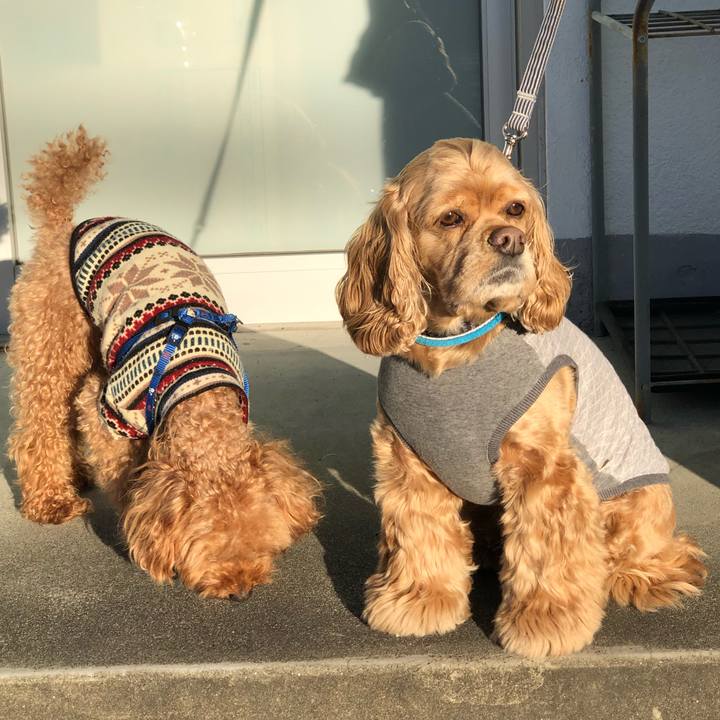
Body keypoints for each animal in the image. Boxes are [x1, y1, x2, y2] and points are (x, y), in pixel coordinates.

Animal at [8, 127, 320, 599]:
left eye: (263, 540)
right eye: (208, 546)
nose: (242, 590)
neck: (197, 397)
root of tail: (62, 227)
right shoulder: (110, 409)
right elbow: (122, 469)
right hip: (49, 345)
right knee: (39, 425)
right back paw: (52, 499)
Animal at [336, 137, 707, 657]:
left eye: (516, 209)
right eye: (451, 218)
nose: (511, 239)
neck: (456, 345)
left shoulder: (543, 466)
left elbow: (546, 551)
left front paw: (546, 622)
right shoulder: (408, 459)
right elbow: (419, 531)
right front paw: (420, 599)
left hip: (634, 504)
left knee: (650, 554)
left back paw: (637, 573)